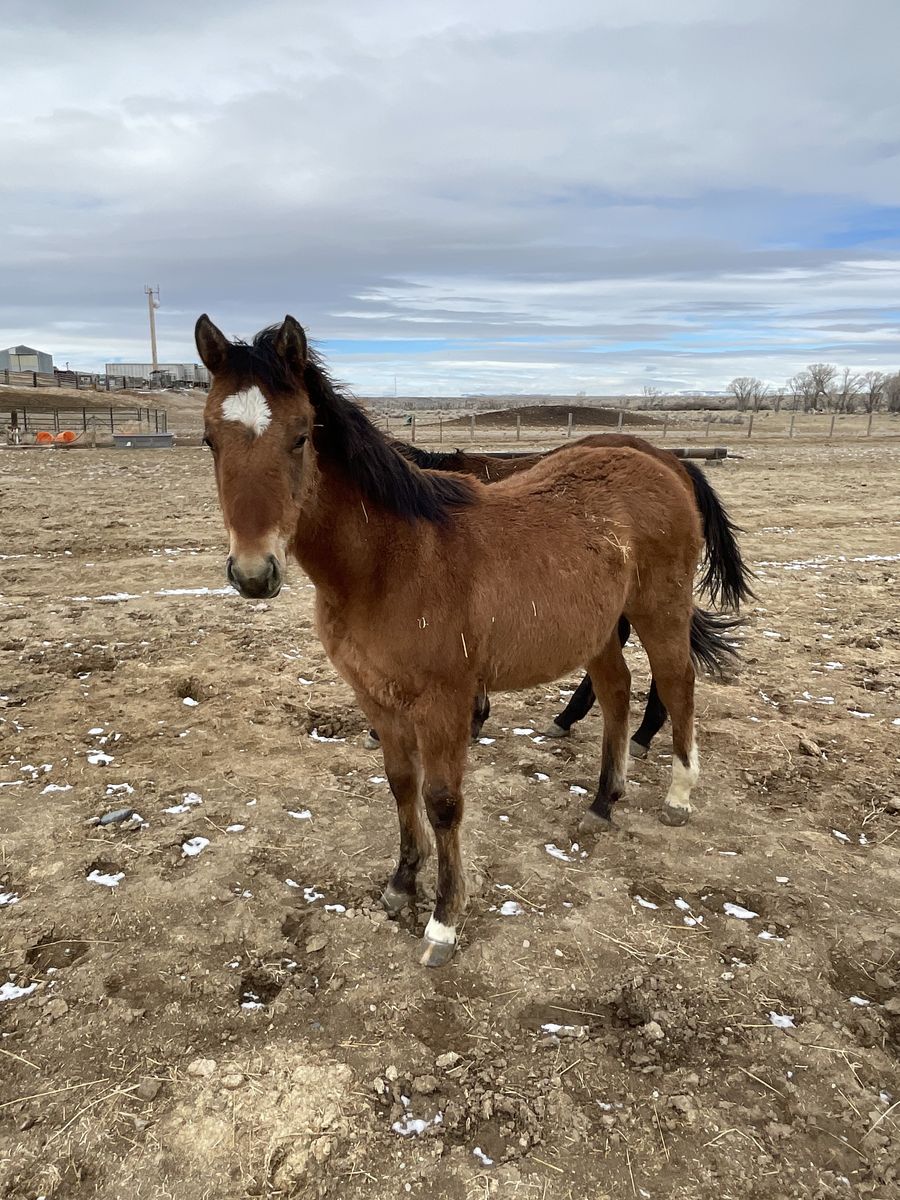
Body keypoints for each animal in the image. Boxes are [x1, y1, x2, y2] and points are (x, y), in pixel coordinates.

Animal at [195, 314, 736, 967]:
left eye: (301, 436)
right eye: (209, 440)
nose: (254, 574)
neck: (389, 561)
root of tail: (670, 467)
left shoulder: (444, 700)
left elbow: (442, 802)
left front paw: (443, 923)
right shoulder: (376, 697)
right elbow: (401, 785)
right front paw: (401, 885)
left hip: (660, 611)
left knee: (677, 682)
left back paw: (678, 795)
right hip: (599, 628)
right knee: (615, 689)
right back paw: (603, 801)